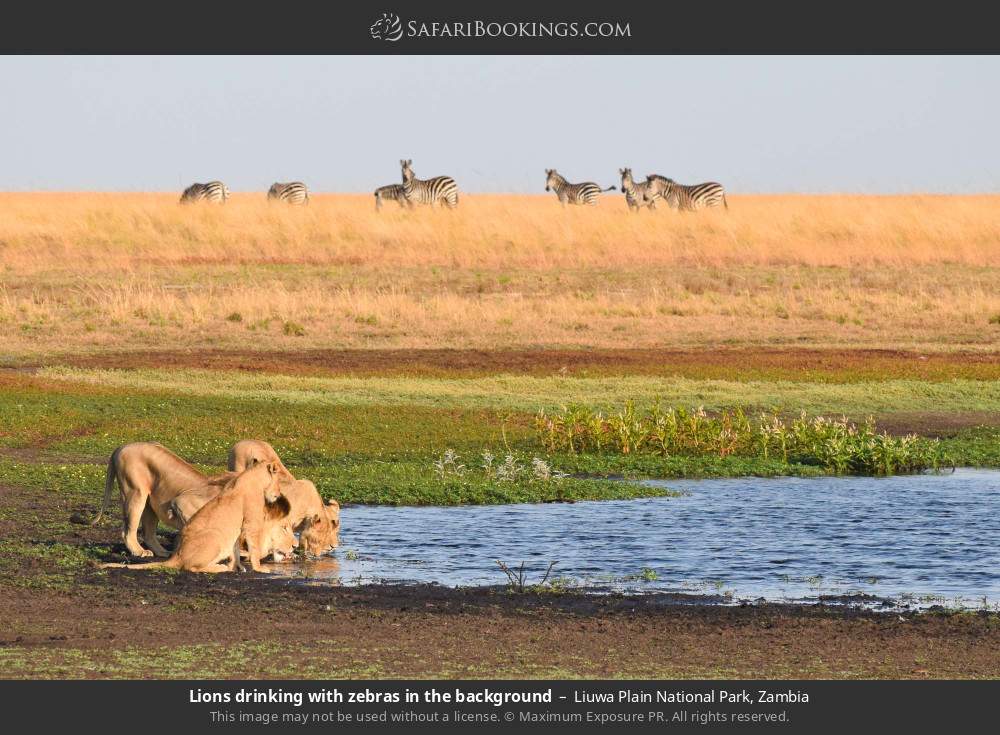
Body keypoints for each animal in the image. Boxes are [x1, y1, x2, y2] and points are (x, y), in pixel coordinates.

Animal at [72, 442, 231, 558]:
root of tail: (121, 447)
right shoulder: (182, 502)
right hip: (135, 492)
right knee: (128, 530)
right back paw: (140, 552)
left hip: (151, 501)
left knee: (148, 533)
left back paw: (162, 552)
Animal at [102, 460, 289, 573]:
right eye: (279, 482)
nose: (278, 494)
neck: (251, 478)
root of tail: (176, 556)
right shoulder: (251, 524)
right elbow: (254, 548)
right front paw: (258, 568)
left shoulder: (236, 531)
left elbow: (235, 550)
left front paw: (239, 566)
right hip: (215, 537)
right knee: (191, 567)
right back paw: (220, 567)